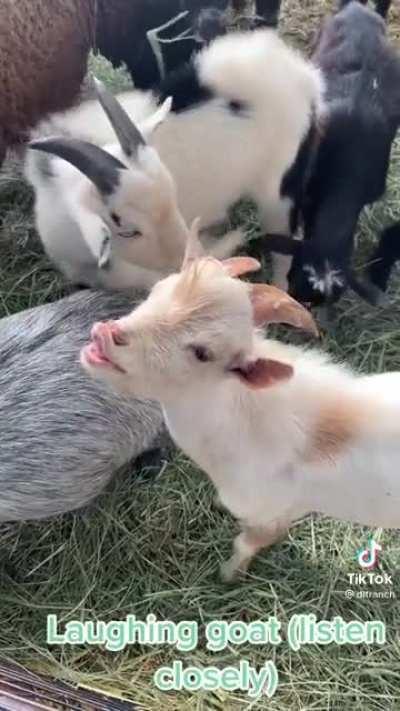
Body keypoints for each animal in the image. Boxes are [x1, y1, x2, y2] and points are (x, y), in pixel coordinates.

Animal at [82, 229, 400, 581]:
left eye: (203, 353)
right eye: (157, 290)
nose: (107, 334)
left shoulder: (271, 514)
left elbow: (245, 544)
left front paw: (227, 575)